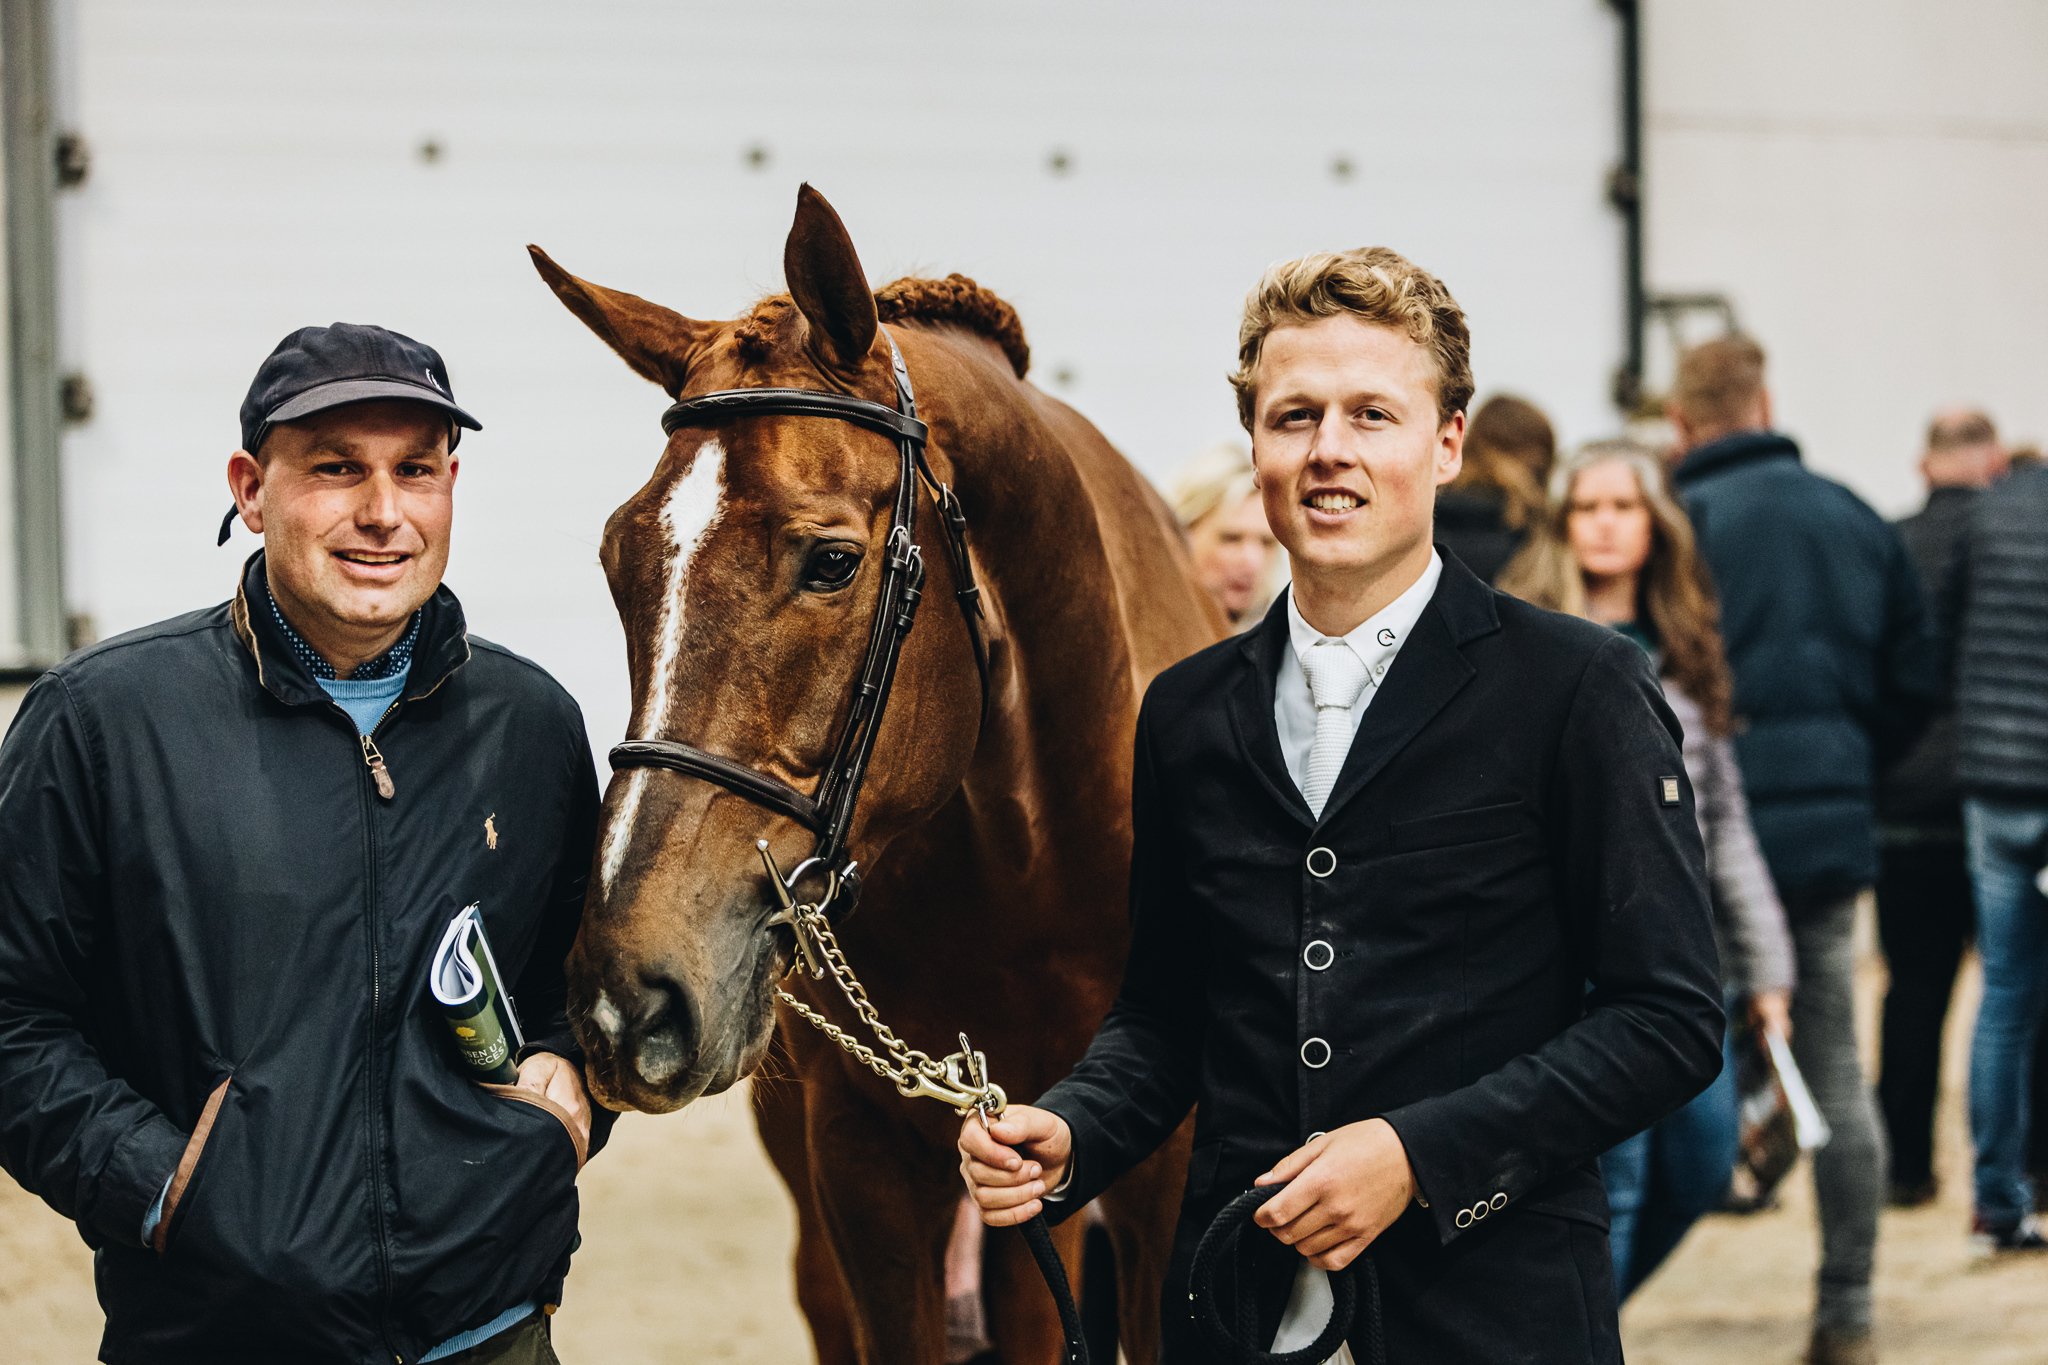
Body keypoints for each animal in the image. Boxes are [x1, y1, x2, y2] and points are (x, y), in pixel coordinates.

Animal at [536, 187, 1220, 1358]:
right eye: (621, 561)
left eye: (832, 561)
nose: (629, 996)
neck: (1033, 860)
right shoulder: (865, 1156)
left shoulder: (1150, 1172)